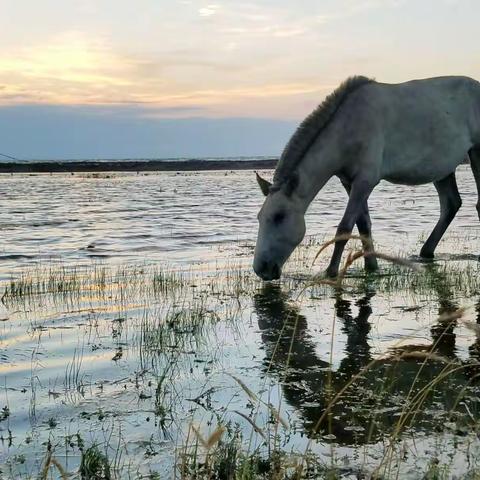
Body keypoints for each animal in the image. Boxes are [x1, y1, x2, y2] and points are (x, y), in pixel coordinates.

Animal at [253, 76, 480, 282]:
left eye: (279, 216)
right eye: (259, 217)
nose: (261, 268)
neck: (346, 129)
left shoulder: (365, 180)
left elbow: (345, 226)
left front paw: (331, 271)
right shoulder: (349, 181)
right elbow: (363, 224)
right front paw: (371, 265)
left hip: (476, 152)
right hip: (443, 169)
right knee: (450, 204)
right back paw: (426, 252)